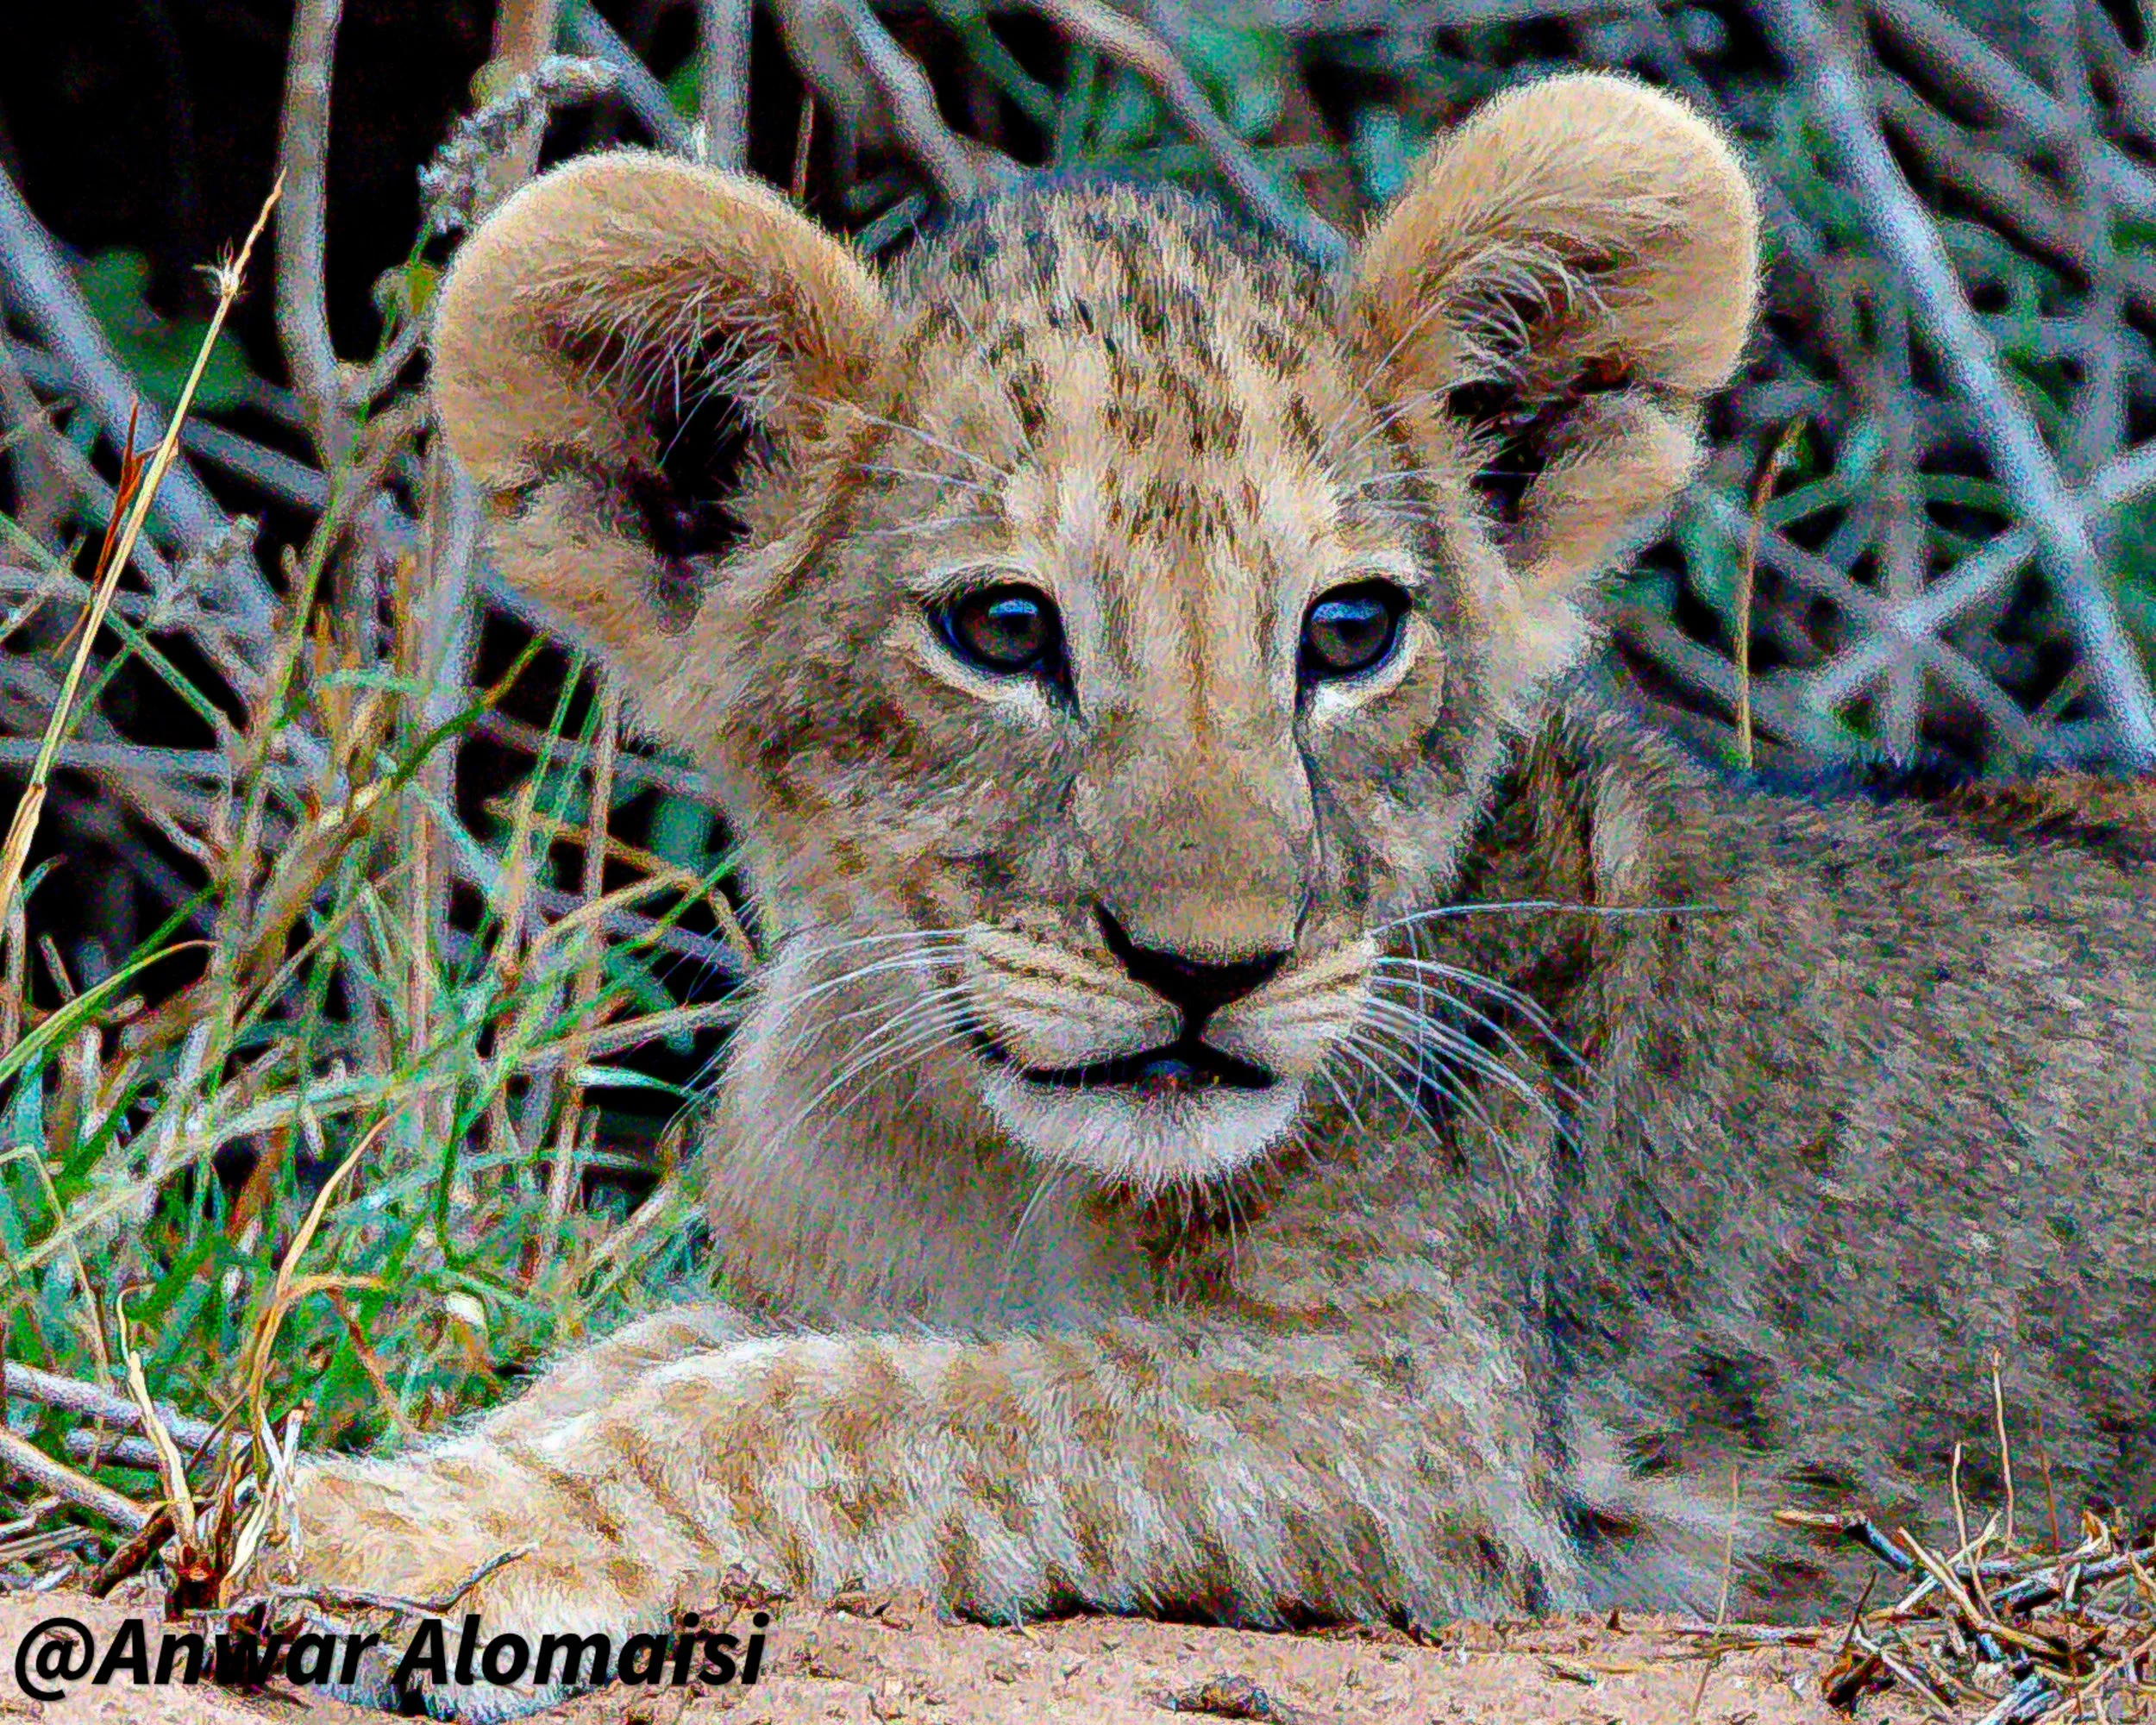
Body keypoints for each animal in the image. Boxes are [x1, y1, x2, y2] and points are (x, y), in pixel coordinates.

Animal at [264, 74, 2156, 1717]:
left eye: (1349, 630)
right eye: (1002, 630)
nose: (1210, 968)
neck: (988, 1152)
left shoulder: (1418, 1434)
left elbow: (846, 1412)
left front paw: (396, 1535)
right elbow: (638, 1357)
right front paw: (414, 1484)